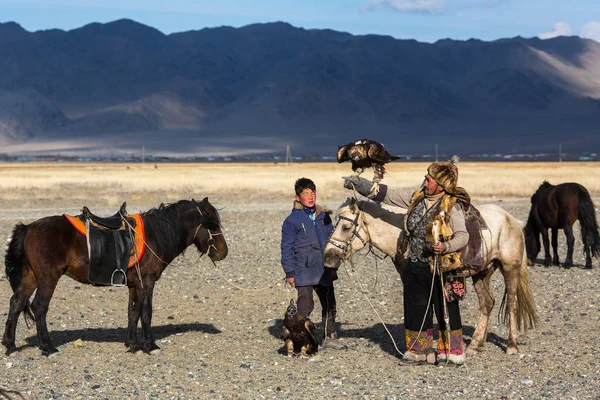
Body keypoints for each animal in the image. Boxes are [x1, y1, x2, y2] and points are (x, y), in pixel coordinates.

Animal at [1, 197, 227, 356]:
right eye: (210, 224)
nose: (223, 252)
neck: (155, 236)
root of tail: (28, 228)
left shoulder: (135, 284)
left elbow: (132, 312)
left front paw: (132, 344)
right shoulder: (147, 282)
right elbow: (146, 312)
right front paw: (149, 345)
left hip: (31, 276)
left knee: (16, 303)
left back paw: (10, 344)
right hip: (48, 277)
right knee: (39, 307)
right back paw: (48, 348)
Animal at [324, 198, 540, 354]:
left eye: (346, 227)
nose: (328, 256)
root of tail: (512, 219)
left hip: (509, 268)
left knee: (511, 303)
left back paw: (511, 345)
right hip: (482, 272)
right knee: (487, 303)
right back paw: (475, 345)